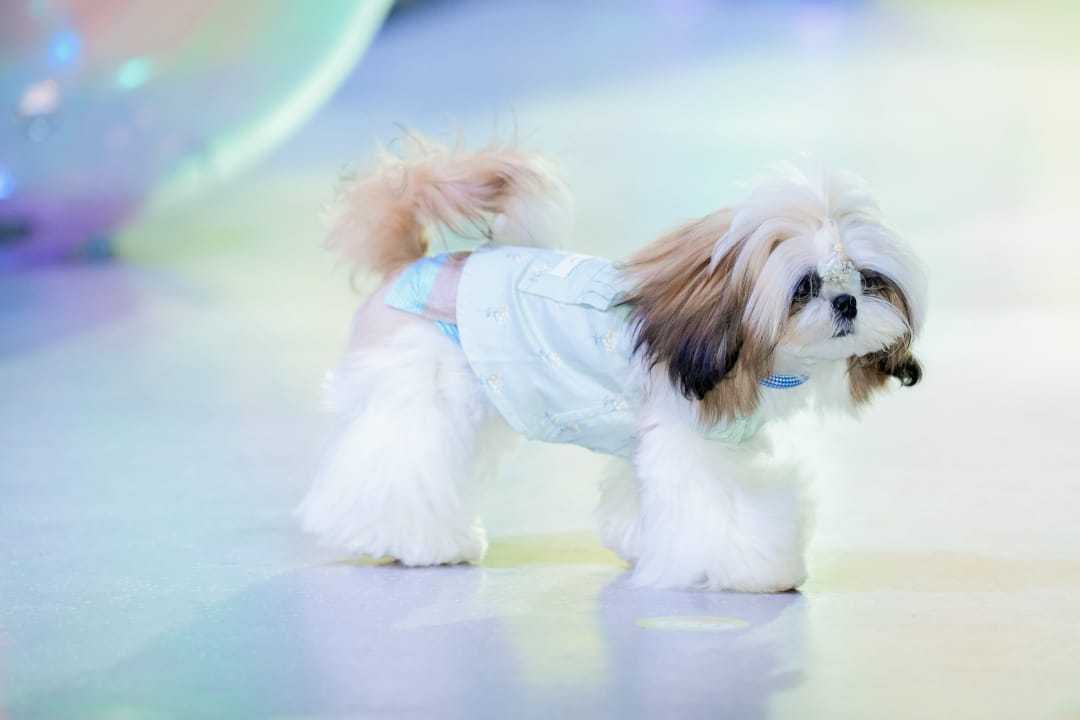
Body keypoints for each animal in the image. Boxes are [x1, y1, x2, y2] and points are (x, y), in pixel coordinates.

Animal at [298, 135, 925, 592]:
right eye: (805, 287)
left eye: (868, 281)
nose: (845, 303)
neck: (744, 351)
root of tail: (409, 267)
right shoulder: (687, 443)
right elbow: (724, 512)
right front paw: (761, 567)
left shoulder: (662, 441)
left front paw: (639, 540)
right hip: (424, 397)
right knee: (395, 466)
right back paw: (416, 542)